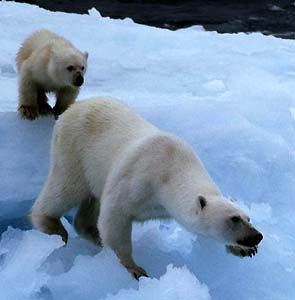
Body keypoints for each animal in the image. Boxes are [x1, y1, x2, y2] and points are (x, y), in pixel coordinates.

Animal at [30, 98, 264, 278]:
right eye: (234, 219)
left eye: (247, 217)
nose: (257, 236)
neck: (171, 169)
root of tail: (73, 108)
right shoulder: (137, 178)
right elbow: (115, 217)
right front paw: (134, 268)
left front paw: (244, 250)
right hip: (74, 152)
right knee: (64, 189)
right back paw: (54, 228)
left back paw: (93, 235)